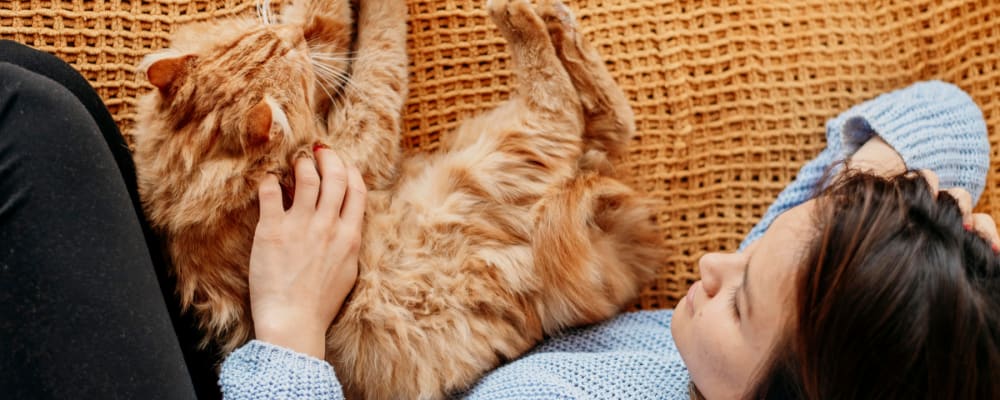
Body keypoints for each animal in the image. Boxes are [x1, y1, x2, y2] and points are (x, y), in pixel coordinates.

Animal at [131, 0, 664, 396]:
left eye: (275, 42)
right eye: (287, 59)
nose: (291, 38)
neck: (199, 177)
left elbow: (330, 22)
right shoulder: (360, 135)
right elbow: (375, 48)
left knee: (608, 116)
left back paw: (557, 20)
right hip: (512, 149)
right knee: (568, 105)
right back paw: (522, 16)